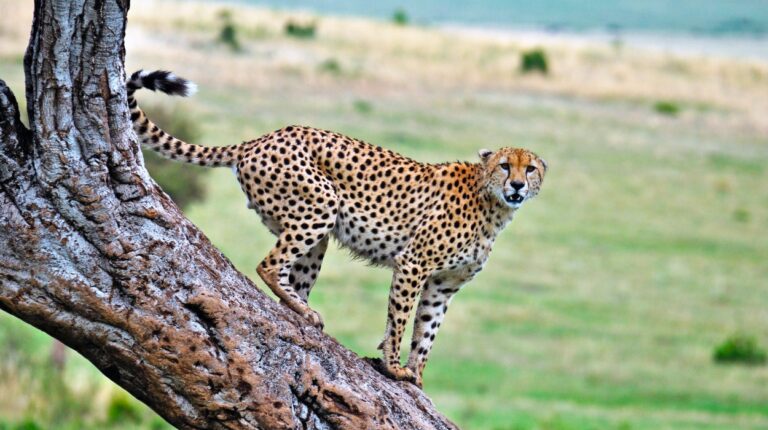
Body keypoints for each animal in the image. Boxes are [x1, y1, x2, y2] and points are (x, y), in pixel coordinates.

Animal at [127, 70, 548, 387]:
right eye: (505, 166)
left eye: (530, 168)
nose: (517, 186)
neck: (492, 205)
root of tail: (263, 138)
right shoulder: (413, 264)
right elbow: (400, 319)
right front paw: (393, 367)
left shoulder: (443, 284)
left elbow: (427, 331)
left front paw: (417, 377)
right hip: (321, 206)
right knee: (269, 264)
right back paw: (305, 311)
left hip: (314, 232)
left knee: (291, 273)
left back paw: (302, 309)